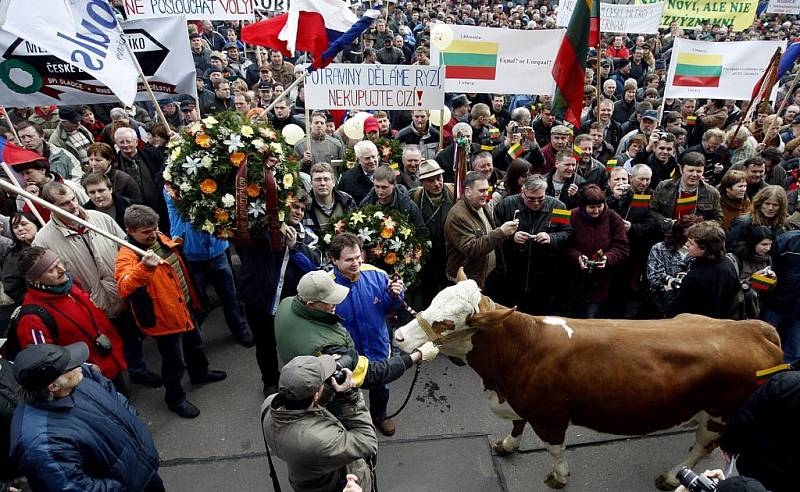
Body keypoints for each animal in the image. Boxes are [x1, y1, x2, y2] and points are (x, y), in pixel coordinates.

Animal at [394, 270, 780, 490]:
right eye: (432, 302)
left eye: (447, 322)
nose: (397, 336)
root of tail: (755, 328)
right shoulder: (521, 402)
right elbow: (517, 425)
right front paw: (507, 444)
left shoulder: (550, 415)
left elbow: (554, 449)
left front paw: (559, 476)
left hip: (718, 415)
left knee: (702, 447)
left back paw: (673, 476)